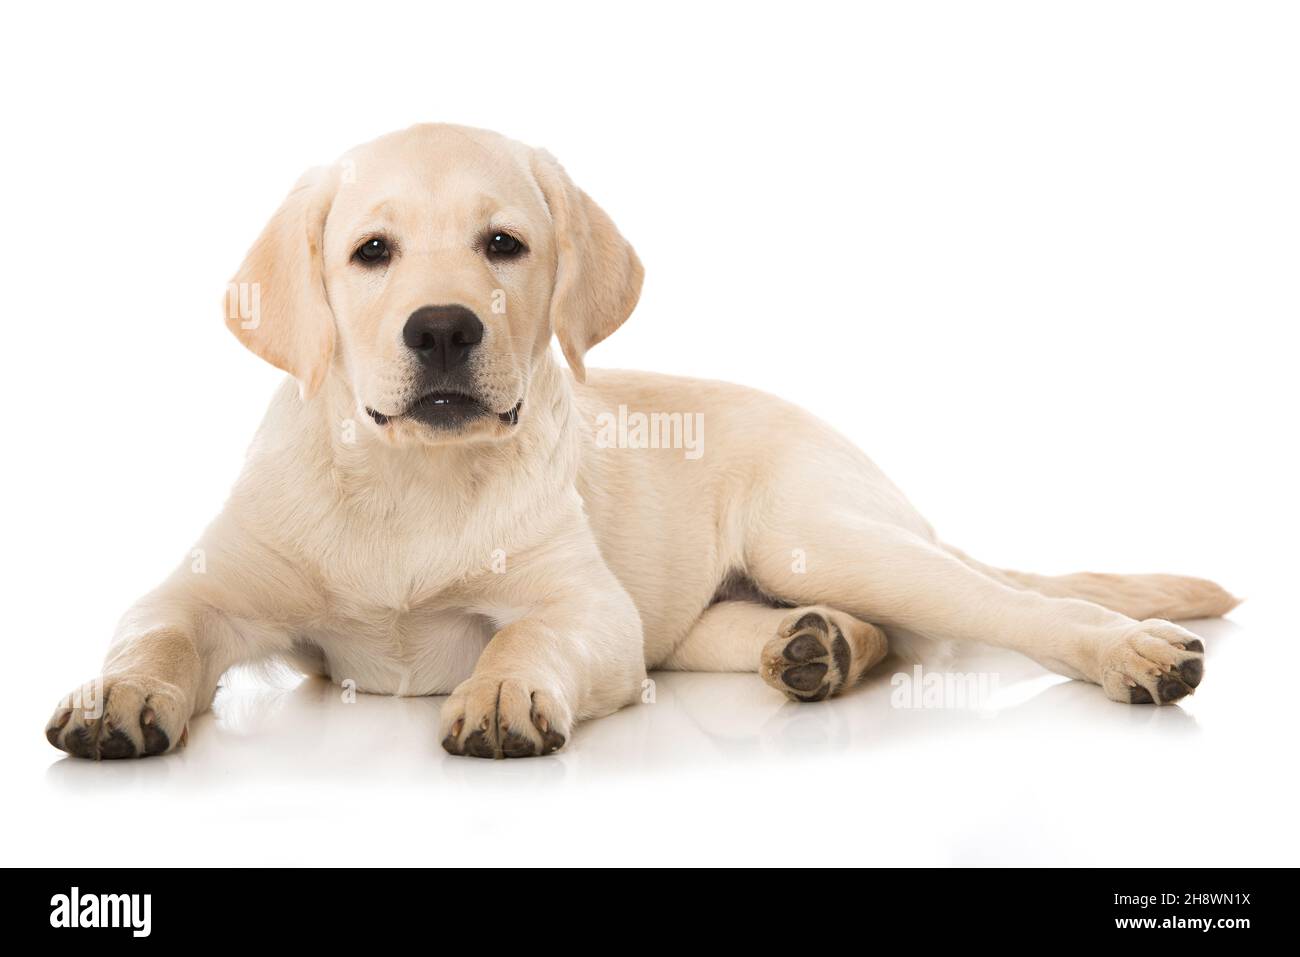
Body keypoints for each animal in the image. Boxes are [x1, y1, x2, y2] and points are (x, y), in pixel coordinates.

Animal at [43, 123, 1237, 759]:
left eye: (504, 245)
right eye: (371, 251)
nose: (443, 328)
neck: (410, 479)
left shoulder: (585, 608)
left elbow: (524, 635)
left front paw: (502, 693)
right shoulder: (209, 586)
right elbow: (155, 632)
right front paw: (114, 696)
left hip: (827, 534)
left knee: (1007, 607)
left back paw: (1135, 651)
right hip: (716, 613)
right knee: (872, 633)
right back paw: (817, 647)